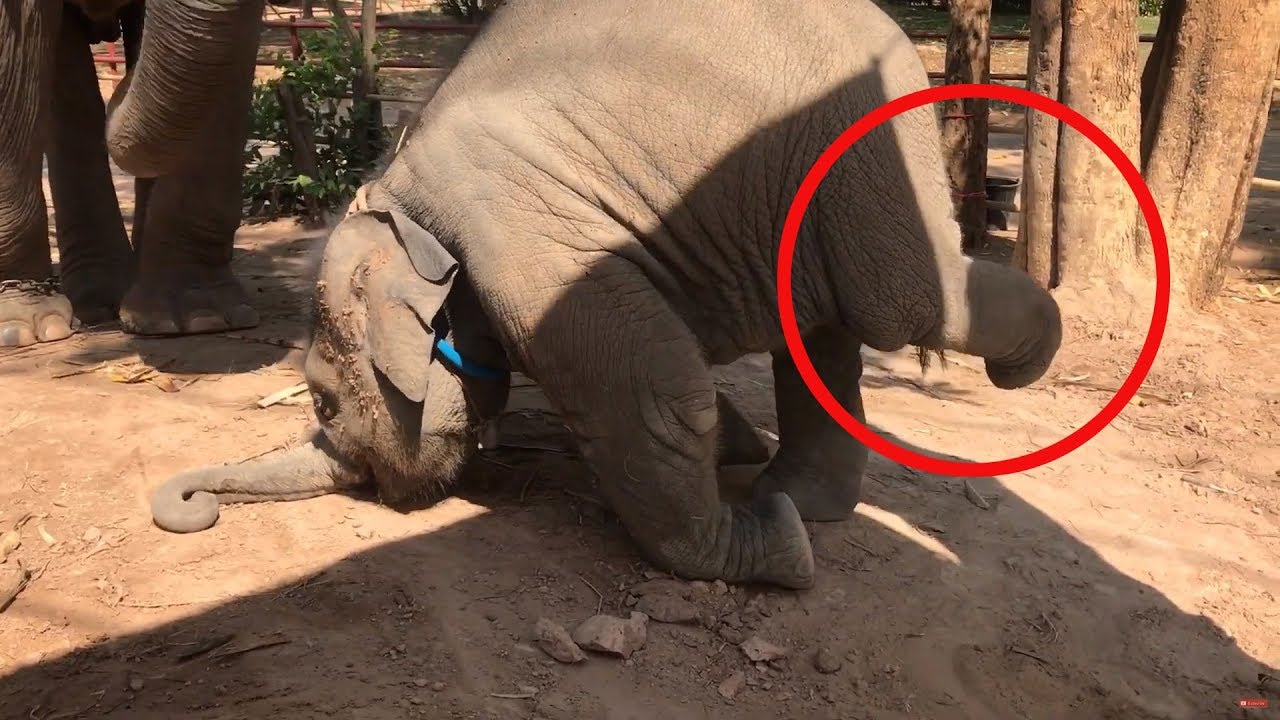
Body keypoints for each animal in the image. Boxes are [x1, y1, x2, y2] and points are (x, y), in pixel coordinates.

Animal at [148, 0, 1063, 589]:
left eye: (322, 401)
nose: (195, 507)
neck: (400, 200)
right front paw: (748, 472)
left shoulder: (524, 239)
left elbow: (657, 391)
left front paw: (779, 554)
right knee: (823, 323)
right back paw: (804, 499)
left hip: (863, 140)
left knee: (896, 301)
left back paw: (1026, 362)